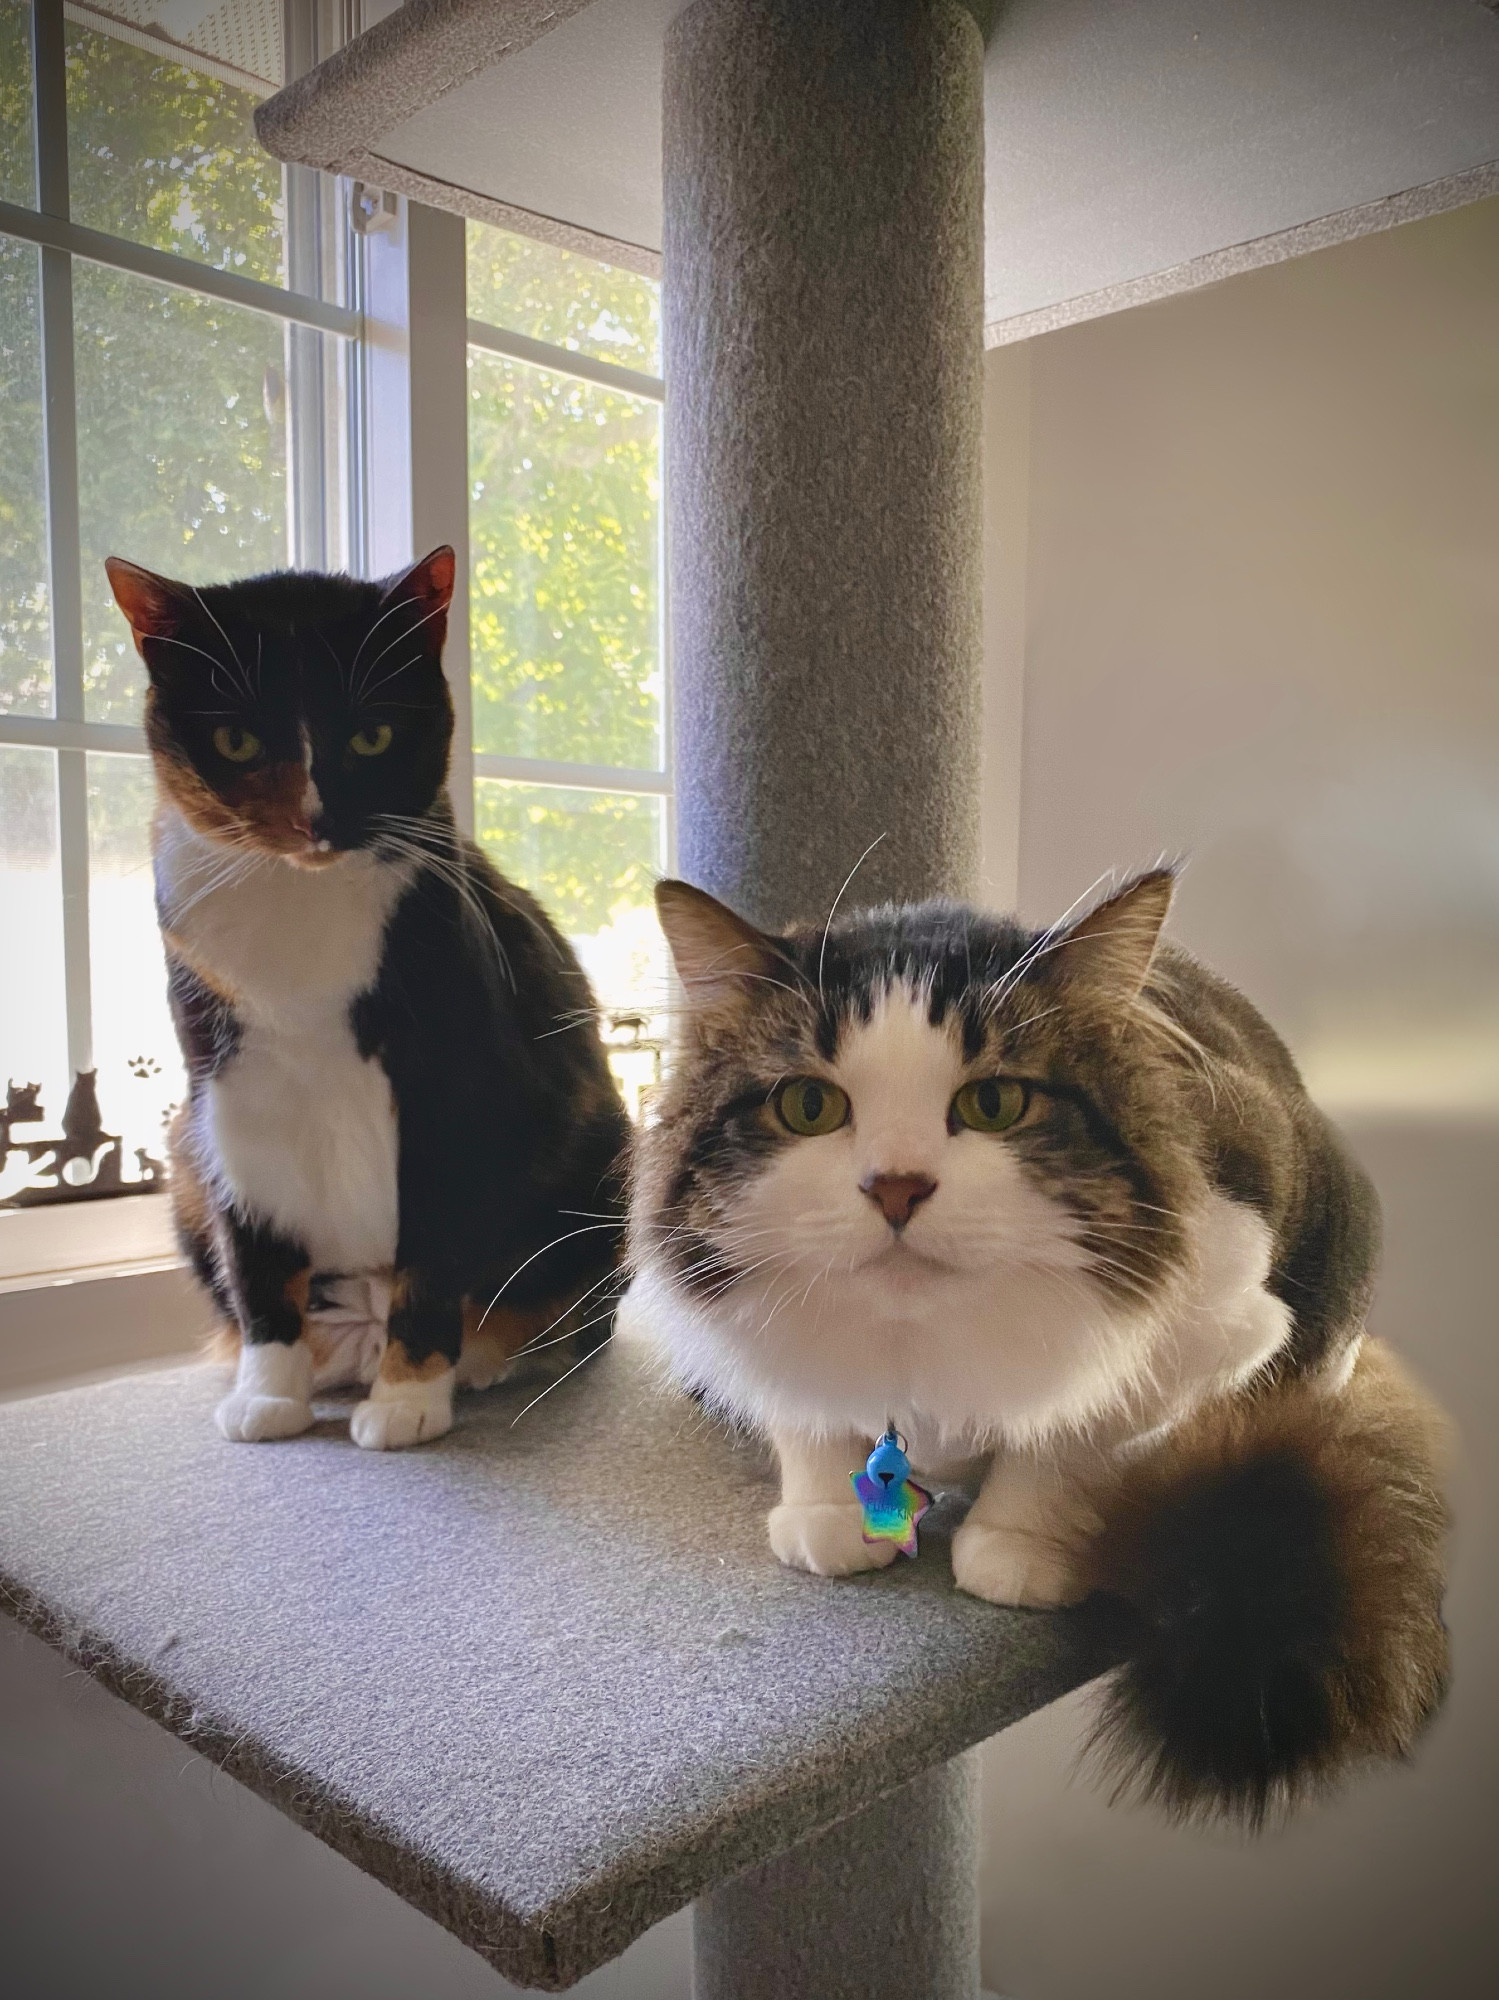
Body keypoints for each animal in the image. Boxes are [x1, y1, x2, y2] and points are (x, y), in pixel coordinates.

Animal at [105, 552, 631, 1456]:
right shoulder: (227, 1092)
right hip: (181, 1156)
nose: (315, 819)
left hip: (604, 1165)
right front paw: (266, 1393)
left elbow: (432, 1255)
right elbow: (256, 1255)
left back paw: (479, 1358)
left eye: (372, 735)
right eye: (237, 740)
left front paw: (408, 1399)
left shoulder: (451, 1089)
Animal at [635, 868, 1455, 1824]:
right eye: (809, 1106)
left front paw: (1018, 1549)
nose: (896, 1187)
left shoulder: (1212, 1329)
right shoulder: (737, 1328)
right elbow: (807, 1412)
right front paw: (830, 1515)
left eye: (993, 1104)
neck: (918, 1346)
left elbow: (1069, 1432)